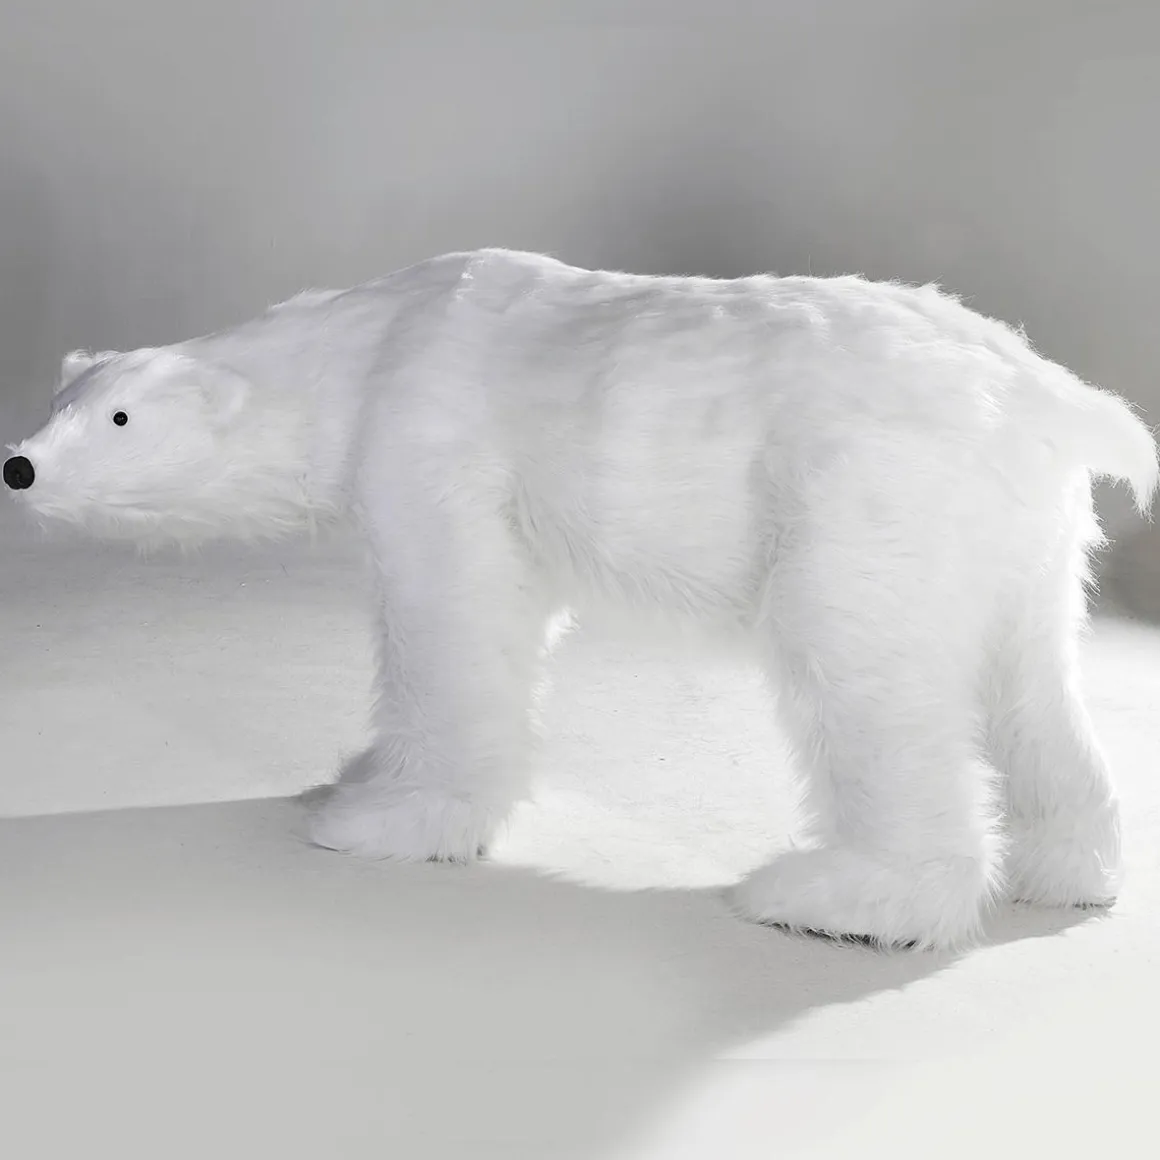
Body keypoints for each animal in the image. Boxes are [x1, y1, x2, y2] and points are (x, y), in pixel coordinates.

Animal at [5, 247, 1157, 950]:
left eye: (118, 418)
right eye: (60, 400)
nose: (17, 465)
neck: (369, 343)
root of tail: (1044, 391)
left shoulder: (429, 440)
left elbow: (454, 614)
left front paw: (386, 816)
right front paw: (359, 771)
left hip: (870, 482)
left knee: (862, 660)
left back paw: (841, 894)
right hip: (1015, 525)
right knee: (1027, 674)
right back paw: (1070, 870)